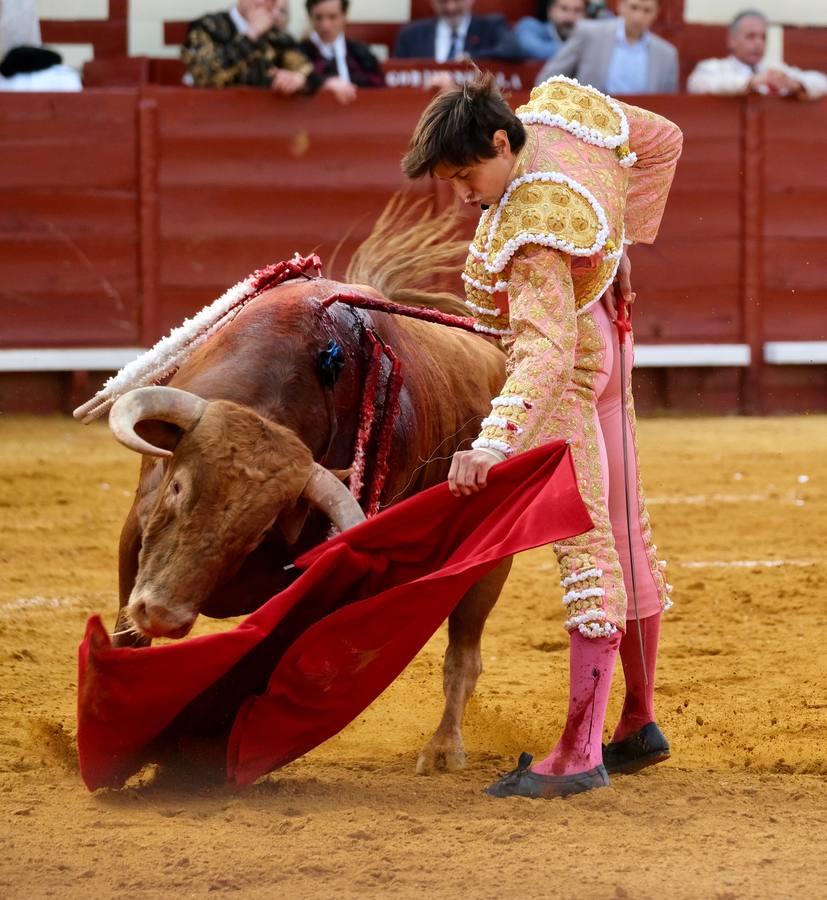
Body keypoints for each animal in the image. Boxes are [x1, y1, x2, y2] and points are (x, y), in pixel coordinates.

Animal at [98, 204, 512, 772]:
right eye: (178, 488)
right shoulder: (135, 536)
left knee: (463, 656)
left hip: (489, 566)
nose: (162, 613)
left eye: (259, 530)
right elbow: (126, 638)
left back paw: (444, 748)